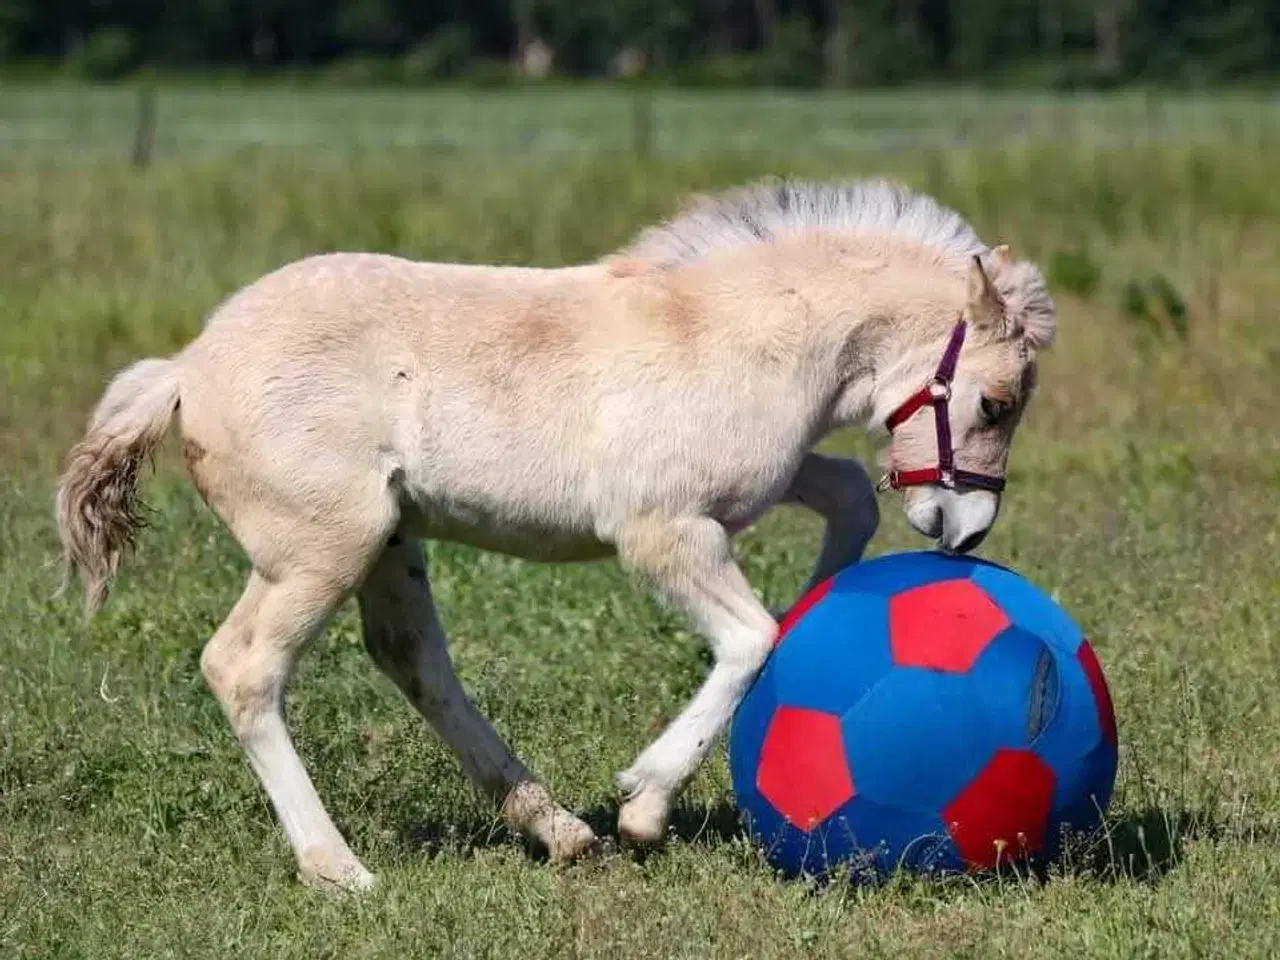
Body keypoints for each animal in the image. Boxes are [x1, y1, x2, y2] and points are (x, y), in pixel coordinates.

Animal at [55, 176, 1056, 893]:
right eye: (997, 403)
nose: (963, 532)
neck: (741, 329)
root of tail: (186, 368)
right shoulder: (662, 531)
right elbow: (751, 638)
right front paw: (644, 805)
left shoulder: (753, 486)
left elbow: (848, 497)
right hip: (321, 546)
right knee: (244, 668)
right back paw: (341, 870)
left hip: (389, 541)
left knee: (412, 660)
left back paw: (558, 831)